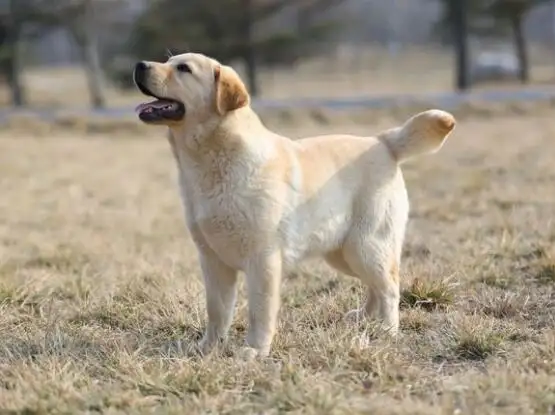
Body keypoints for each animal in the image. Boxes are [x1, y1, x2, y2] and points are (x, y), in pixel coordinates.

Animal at [134, 52, 456, 360]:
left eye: (184, 68)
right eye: (167, 61)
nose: (139, 65)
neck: (211, 162)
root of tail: (383, 142)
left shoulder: (262, 259)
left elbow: (259, 311)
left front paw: (255, 350)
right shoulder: (213, 261)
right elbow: (217, 311)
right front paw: (208, 348)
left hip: (366, 245)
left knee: (389, 286)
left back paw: (388, 330)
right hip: (343, 253)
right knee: (375, 286)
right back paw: (365, 319)